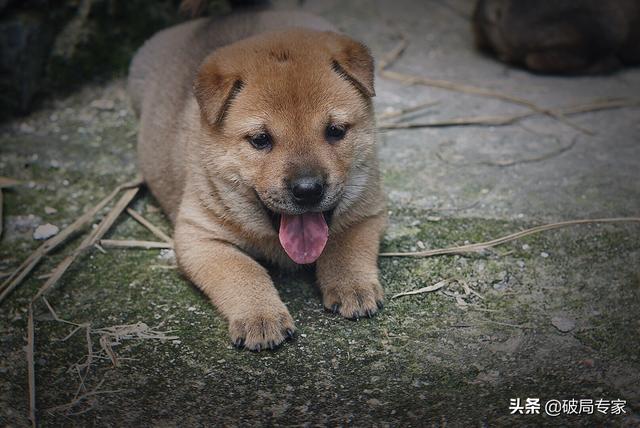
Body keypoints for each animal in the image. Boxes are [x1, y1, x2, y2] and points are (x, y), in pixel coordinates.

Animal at [127, 10, 382, 352]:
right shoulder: (199, 236)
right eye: (260, 139)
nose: (307, 190)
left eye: (336, 131)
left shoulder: (368, 211)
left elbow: (347, 245)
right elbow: (243, 270)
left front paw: (352, 285)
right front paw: (260, 316)